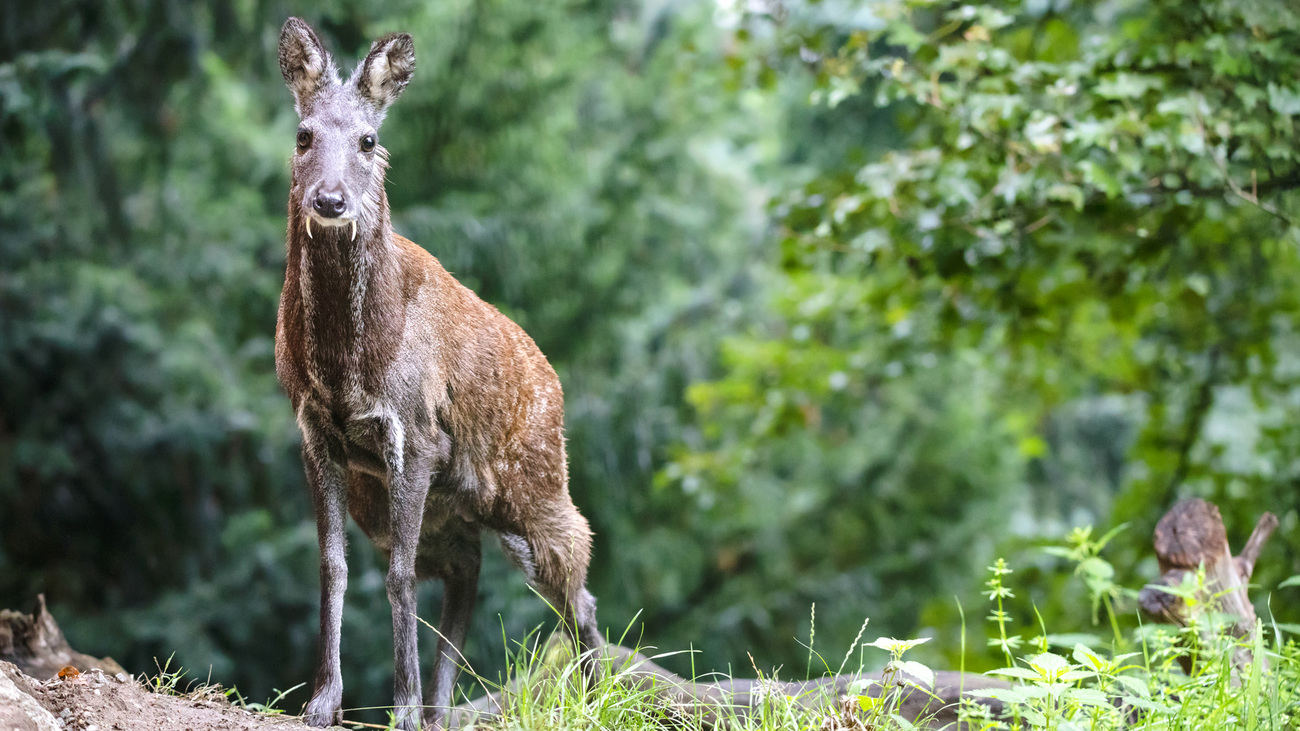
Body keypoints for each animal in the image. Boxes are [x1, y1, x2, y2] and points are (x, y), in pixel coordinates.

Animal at [273, 18, 603, 728]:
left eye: (369, 140)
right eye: (303, 134)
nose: (330, 200)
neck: (348, 366)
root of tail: (554, 382)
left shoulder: (417, 434)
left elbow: (397, 577)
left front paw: (395, 706)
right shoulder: (315, 433)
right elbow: (333, 566)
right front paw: (323, 702)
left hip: (535, 483)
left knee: (576, 581)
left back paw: (594, 699)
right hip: (438, 506)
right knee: (466, 573)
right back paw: (439, 709)